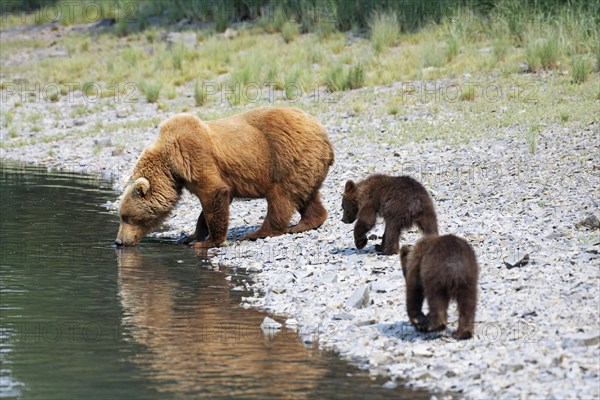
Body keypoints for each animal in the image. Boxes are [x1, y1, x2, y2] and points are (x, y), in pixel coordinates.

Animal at [115, 108, 336, 248]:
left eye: (126, 216)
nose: (118, 241)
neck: (171, 165)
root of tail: (324, 134)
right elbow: (213, 202)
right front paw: (190, 236)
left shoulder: (195, 156)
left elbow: (214, 193)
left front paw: (208, 241)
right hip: (304, 165)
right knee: (305, 195)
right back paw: (305, 223)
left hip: (284, 158)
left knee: (280, 198)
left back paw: (257, 233)